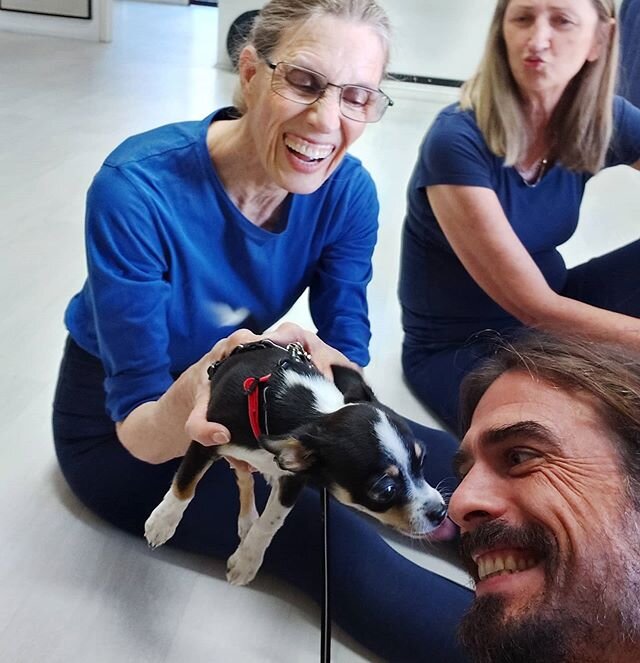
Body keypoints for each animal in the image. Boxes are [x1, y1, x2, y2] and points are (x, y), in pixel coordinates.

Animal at [144, 342, 444, 588]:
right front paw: (163, 521)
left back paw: (249, 517)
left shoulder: (293, 478)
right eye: (385, 490)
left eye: (422, 460)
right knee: (242, 475)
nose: (441, 512)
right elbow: (186, 483)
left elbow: (271, 522)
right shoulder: (205, 438)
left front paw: (247, 561)